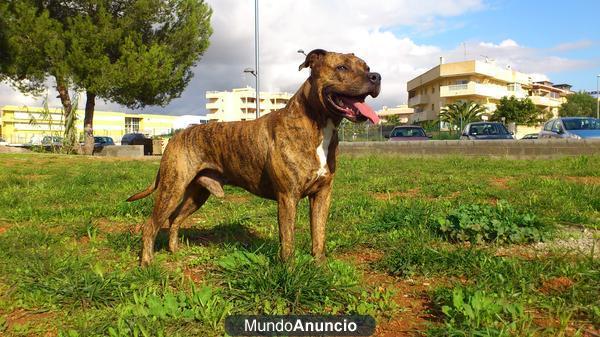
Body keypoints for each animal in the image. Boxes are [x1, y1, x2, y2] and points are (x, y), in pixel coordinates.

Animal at [127, 50, 380, 266]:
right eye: (342, 67)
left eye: (366, 67)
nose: (376, 76)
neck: (317, 125)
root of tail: (175, 137)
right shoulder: (288, 197)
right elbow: (287, 240)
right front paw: (289, 271)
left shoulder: (322, 195)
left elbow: (319, 236)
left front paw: (320, 268)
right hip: (172, 187)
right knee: (151, 225)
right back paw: (147, 263)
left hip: (197, 194)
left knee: (175, 219)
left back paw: (174, 251)